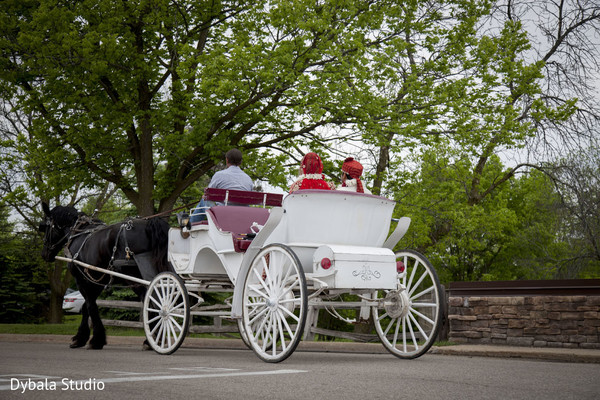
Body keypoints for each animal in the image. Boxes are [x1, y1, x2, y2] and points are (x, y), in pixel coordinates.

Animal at [39, 202, 171, 348]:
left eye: (45, 227)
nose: (44, 254)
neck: (78, 233)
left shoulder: (81, 279)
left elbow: (90, 306)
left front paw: (93, 339)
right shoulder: (97, 280)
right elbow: (86, 306)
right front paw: (84, 338)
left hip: (134, 277)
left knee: (150, 301)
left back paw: (152, 340)